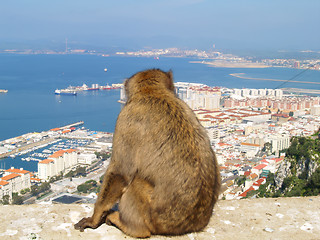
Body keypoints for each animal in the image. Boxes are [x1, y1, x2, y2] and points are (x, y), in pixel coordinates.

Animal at [74, 68, 220, 237]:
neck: (153, 92)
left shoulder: (125, 119)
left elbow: (120, 173)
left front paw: (93, 219)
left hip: (151, 215)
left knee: (134, 183)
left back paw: (129, 226)